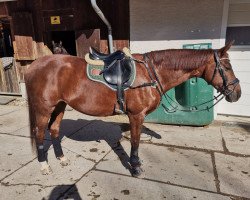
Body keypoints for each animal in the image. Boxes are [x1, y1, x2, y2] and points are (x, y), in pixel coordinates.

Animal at [24, 42, 240, 177]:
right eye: (227, 67)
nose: (237, 93)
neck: (151, 72)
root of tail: (33, 66)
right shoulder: (136, 116)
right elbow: (135, 141)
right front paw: (135, 168)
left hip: (60, 105)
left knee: (54, 130)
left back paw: (61, 159)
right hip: (44, 109)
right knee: (40, 133)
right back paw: (44, 166)